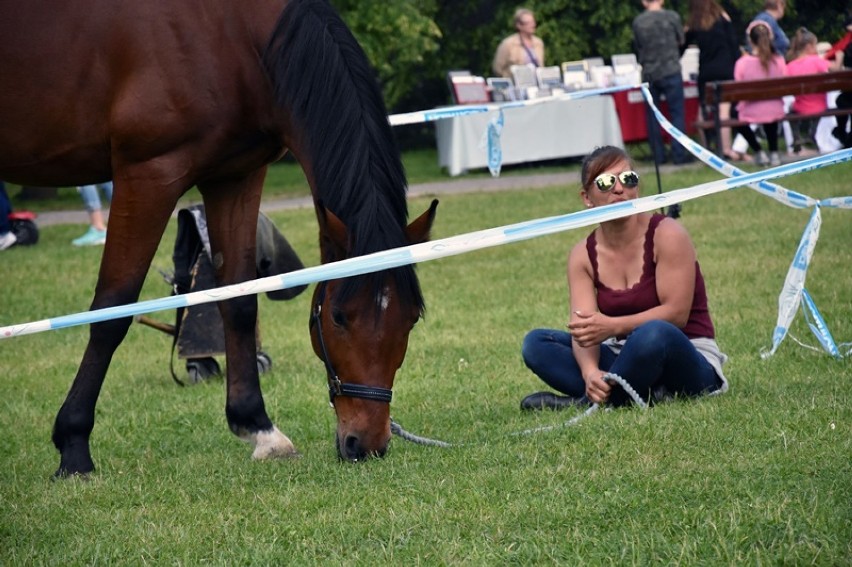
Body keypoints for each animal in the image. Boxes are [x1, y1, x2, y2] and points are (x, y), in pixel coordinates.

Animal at [0, 0, 436, 474]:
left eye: (411, 318)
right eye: (338, 317)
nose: (367, 442)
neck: (231, 36)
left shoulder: (235, 177)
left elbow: (239, 300)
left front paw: (257, 426)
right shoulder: (147, 176)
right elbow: (113, 310)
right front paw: (74, 444)